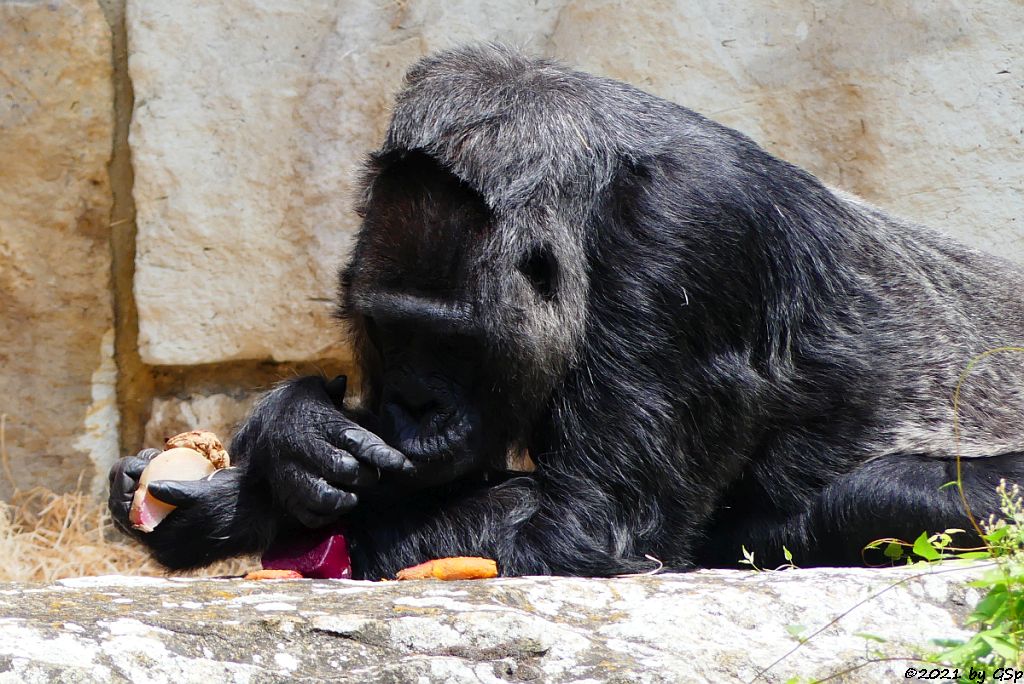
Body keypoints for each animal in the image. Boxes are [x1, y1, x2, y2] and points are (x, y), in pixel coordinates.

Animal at [108, 44, 1024, 577]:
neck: (596, 196)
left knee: (877, 496)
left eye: (449, 341)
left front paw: (255, 491)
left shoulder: (687, 238)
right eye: (388, 330)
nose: (411, 404)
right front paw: (290, 441)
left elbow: (588, 530)